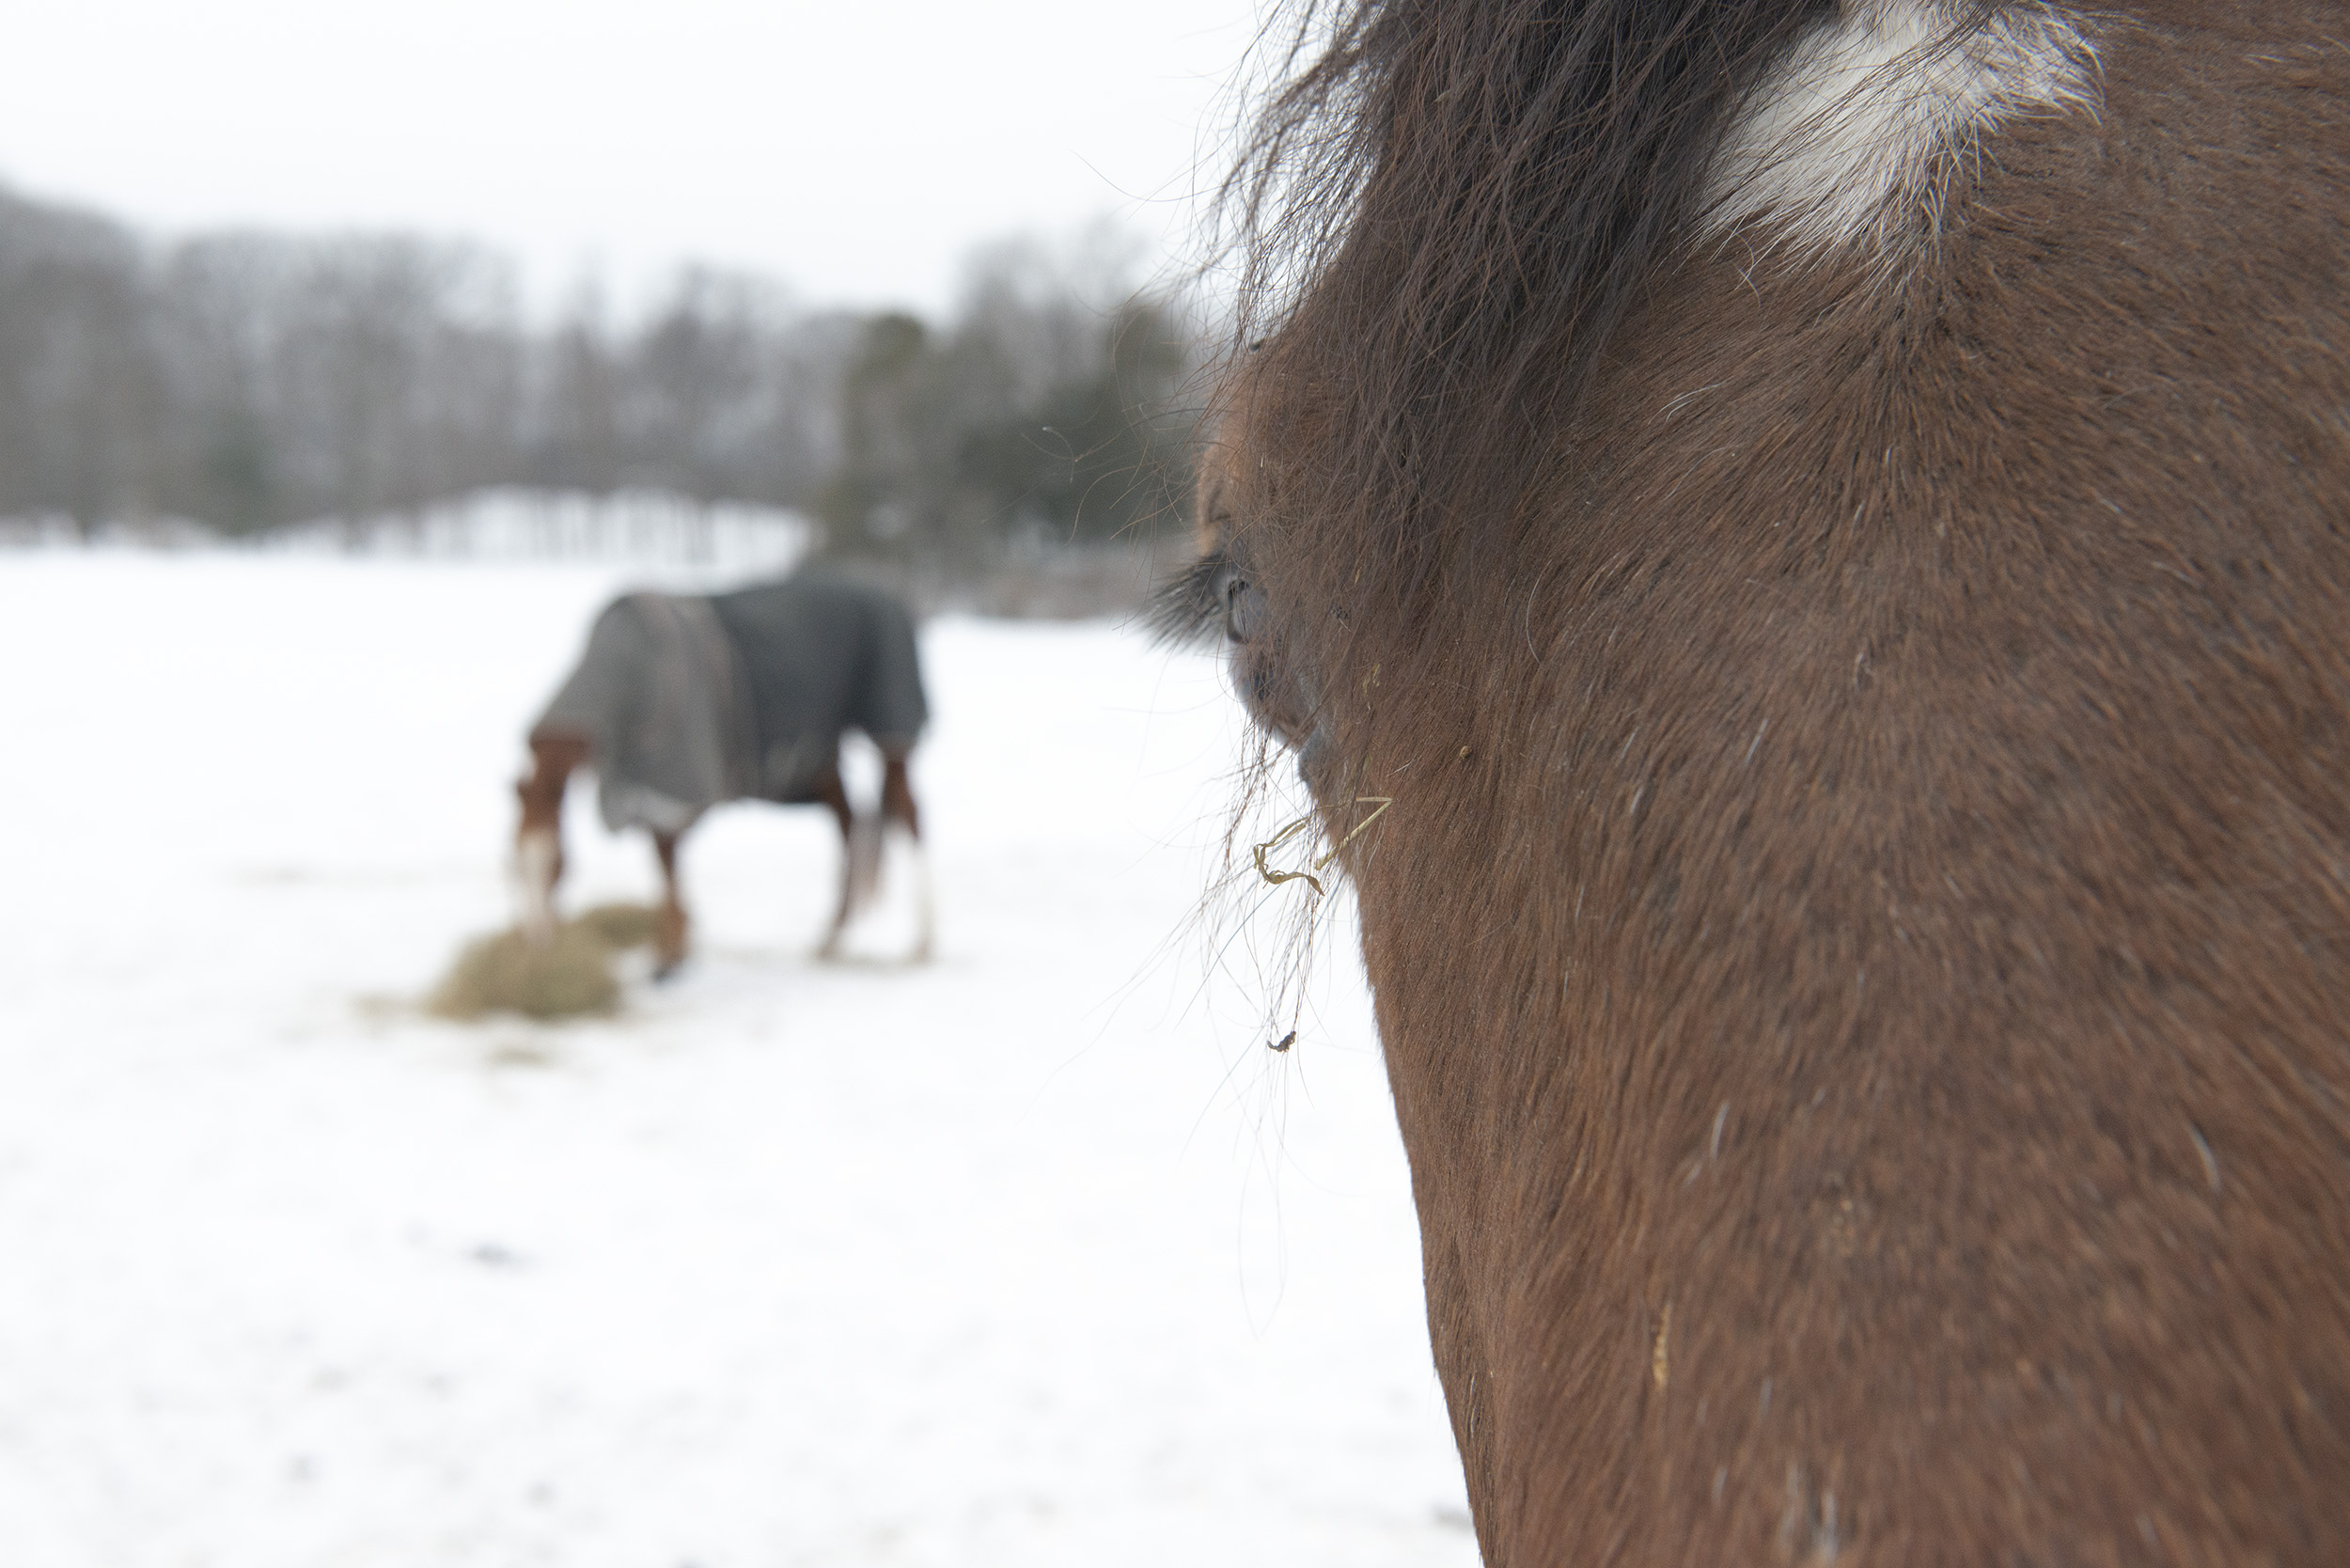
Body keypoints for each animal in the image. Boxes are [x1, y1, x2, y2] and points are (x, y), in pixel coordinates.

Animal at [512, 571, 926, 973]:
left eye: (556, 866)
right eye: (515, 865)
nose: (539, 943)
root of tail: (886, 594)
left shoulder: (677, 786)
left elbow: (667, 861)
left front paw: (671, 955)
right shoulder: (645, 788)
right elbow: (663, 864)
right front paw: (671, 943)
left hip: (888, 729)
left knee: (906, 812)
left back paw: (920, 942)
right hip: (820, 754)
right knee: (848, 822)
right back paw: (831, 940)